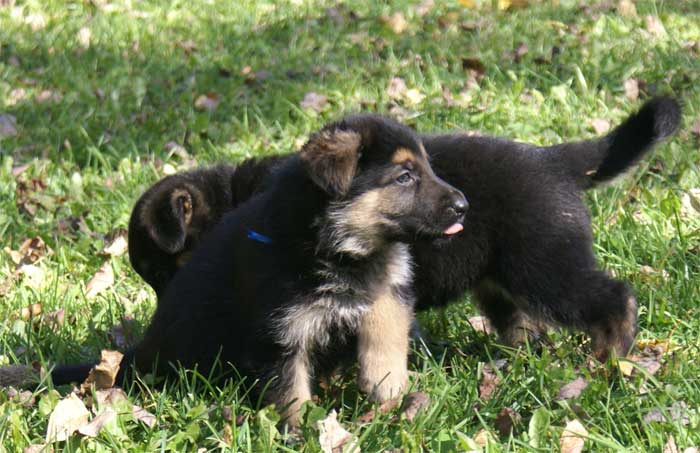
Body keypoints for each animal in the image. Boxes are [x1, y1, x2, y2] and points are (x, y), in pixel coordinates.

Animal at [127, 96, 684, 360]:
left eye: (168, 270)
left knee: (611, 297)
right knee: (523, 321)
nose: (164, 319)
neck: (233, 198)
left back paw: (611, 355)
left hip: (544, 261)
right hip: (503, 278)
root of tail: (554, 160)